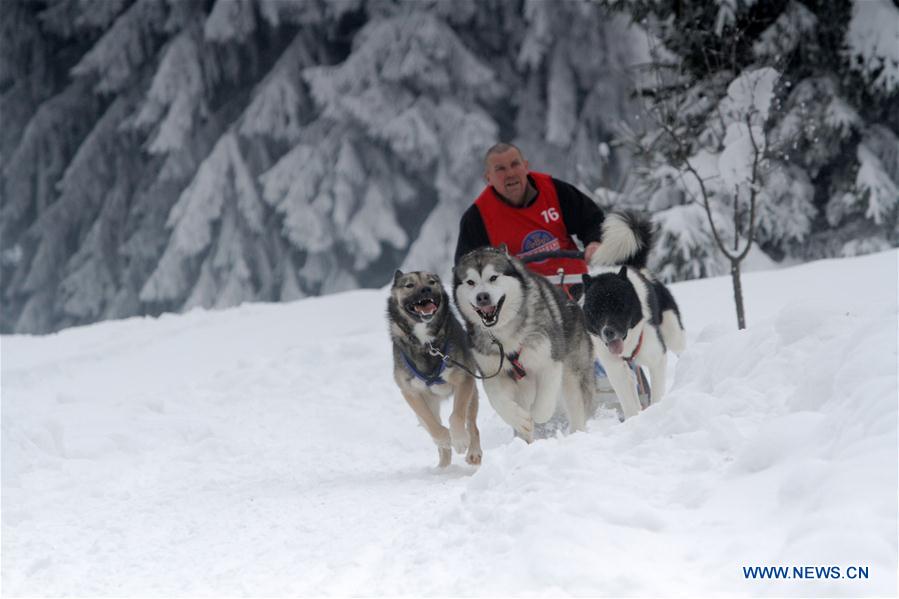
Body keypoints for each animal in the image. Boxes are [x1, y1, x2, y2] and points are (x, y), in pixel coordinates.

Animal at [388, 272, 482, 468]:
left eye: (432, 282)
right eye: (409, 285)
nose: (426, 289)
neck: (427, 343)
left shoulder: (464, 380)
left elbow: (456, 415)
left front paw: (459, 440)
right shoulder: (410, 392)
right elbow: (432, 424)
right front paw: (445, 438)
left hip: (472, 395)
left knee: (471, 424)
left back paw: (473, 452)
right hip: (428, 403)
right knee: (430, 426)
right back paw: (442, 467)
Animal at [454, 246, 596, 442]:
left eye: (493, 277)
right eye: (470, 282)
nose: (482, 297)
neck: (505, 332)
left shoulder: (549, 361)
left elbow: (544, 404)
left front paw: (536, 415)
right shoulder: (492, 372)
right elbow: (497, 400)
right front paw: (520, 420)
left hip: (573, 374)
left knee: (576, 406)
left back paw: (576, 435)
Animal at [580, 213, 684, 420]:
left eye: (619, 306)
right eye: (595, 311)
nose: (608, 332)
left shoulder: (656, 357)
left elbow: (656, 395)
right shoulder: (616, 369)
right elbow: (629, 404)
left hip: (673, 334)